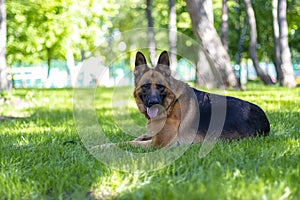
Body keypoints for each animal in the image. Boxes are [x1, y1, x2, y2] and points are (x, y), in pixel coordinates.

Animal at [126, 50, 270, 148]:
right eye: (145, 86)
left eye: (161, 87)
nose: (153, 102)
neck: (172, 103)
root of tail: (265, 121)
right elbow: (141, 136)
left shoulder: (158, 143)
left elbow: (128, 143)